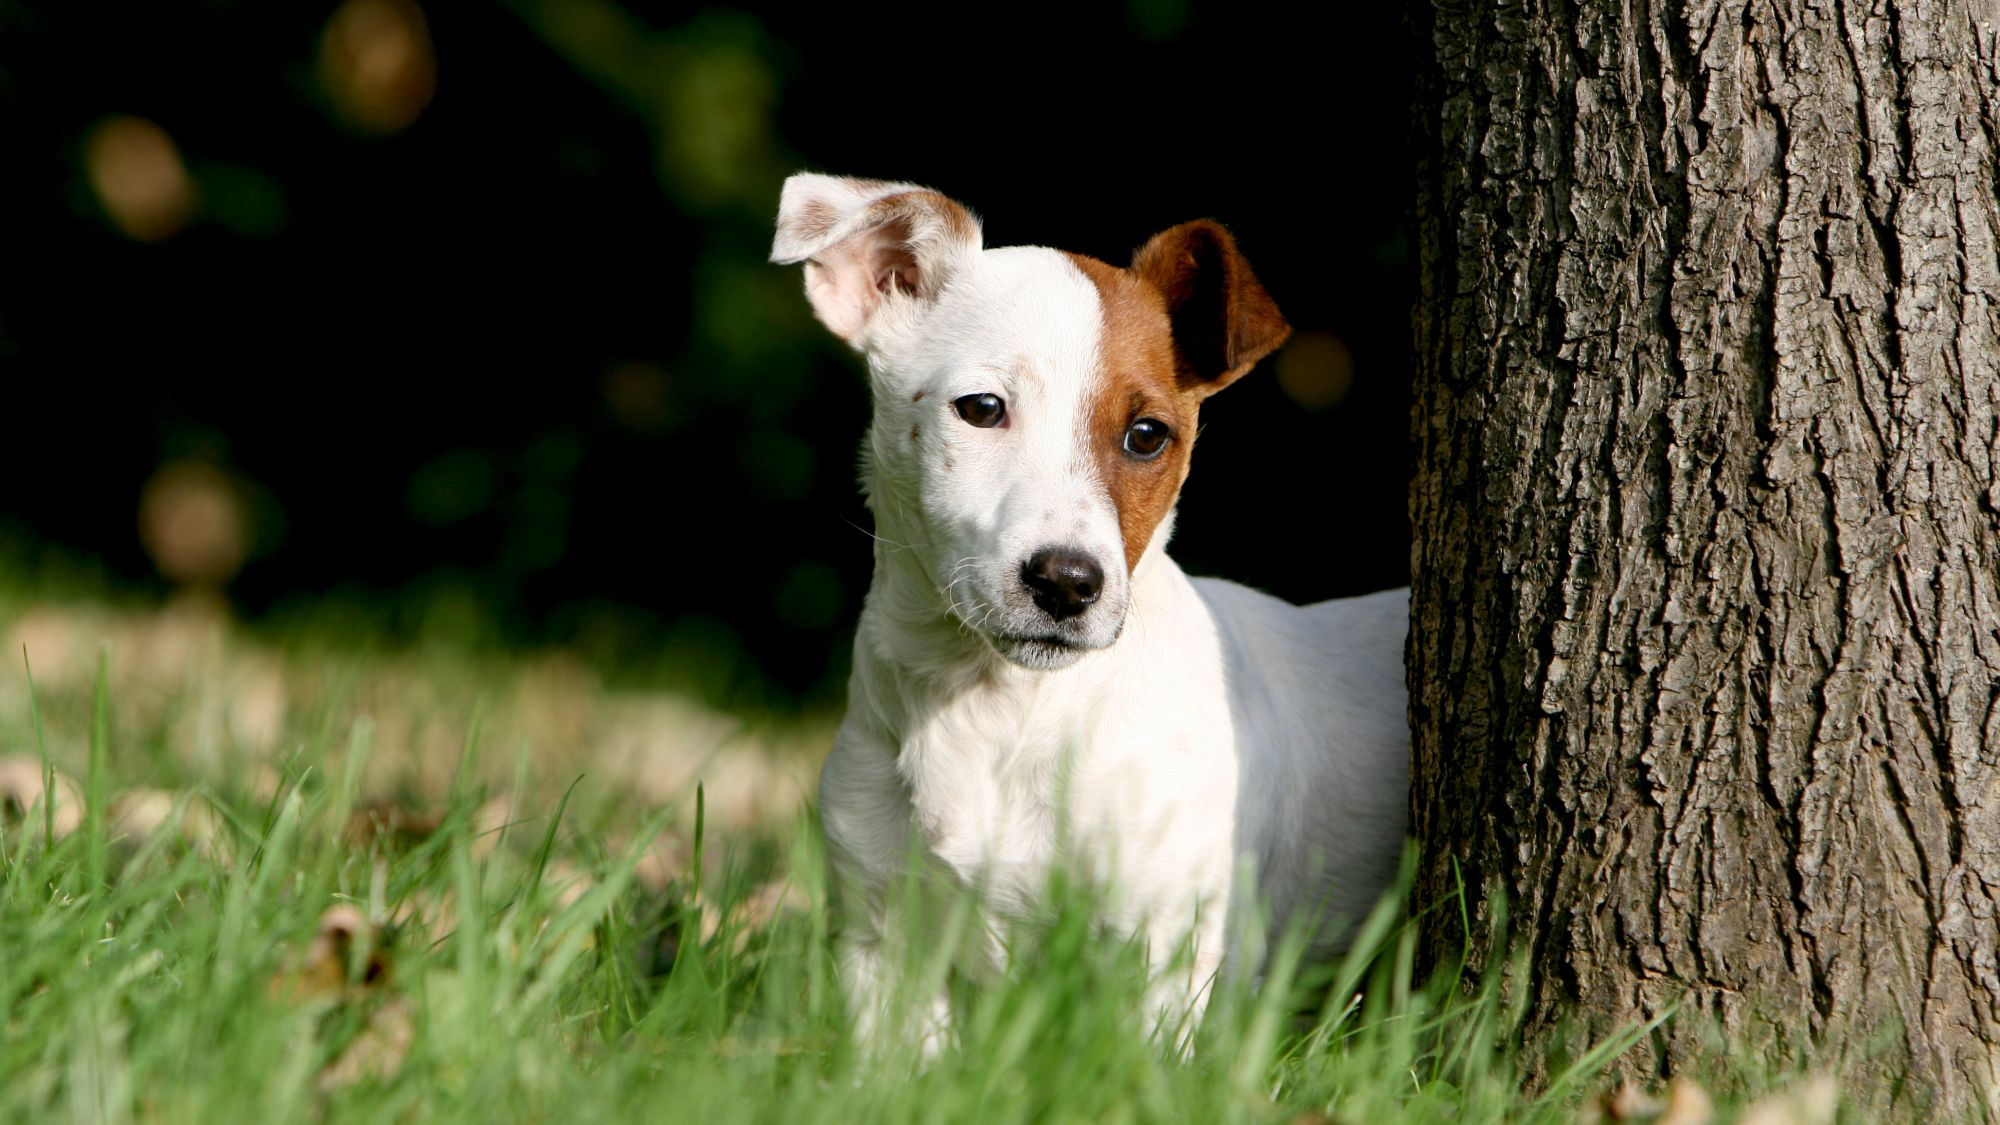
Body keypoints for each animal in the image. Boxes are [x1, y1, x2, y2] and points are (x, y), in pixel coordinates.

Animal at [764, 171, 1408, 1048]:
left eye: (1147, 435)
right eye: (981, 408)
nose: (1069, 582)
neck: (1001, 709)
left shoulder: (1168, 953)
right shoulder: (884, 939)